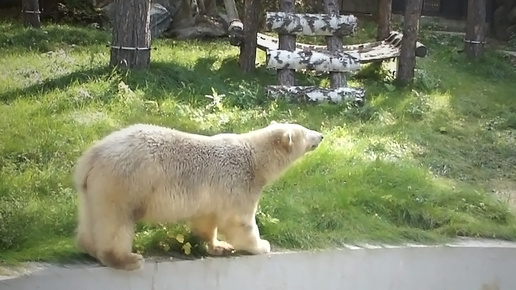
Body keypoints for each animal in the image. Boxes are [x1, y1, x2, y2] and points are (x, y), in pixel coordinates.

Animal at [72, 120, 322, 270]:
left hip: (93, 187)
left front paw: (219, 246)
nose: (320, 135)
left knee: (91, 215)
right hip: (126, 182)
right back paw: (126, 258)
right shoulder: (239, 182)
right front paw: (262, 245)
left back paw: (89, 247)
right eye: (305, 131)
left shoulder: (213, 194)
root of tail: (93, 155)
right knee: (117, 220)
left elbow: (206, 219)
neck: (253, 159)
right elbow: (239, 221)